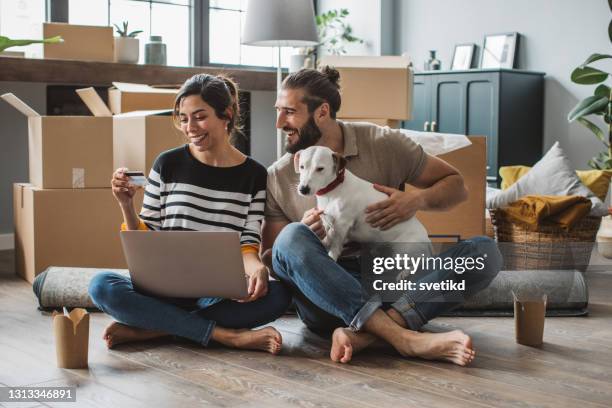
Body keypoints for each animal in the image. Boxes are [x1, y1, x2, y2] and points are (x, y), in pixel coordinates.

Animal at [296, 147, 430, 260]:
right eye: (302, 166)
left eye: (320, 168)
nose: (303, 189)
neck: (333, 190)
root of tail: (427, 240)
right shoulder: (328, 220)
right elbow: (329, 235)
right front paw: (324, 241)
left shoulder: (342, 224)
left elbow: (335, 244)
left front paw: (332, 256)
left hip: (405, 250)